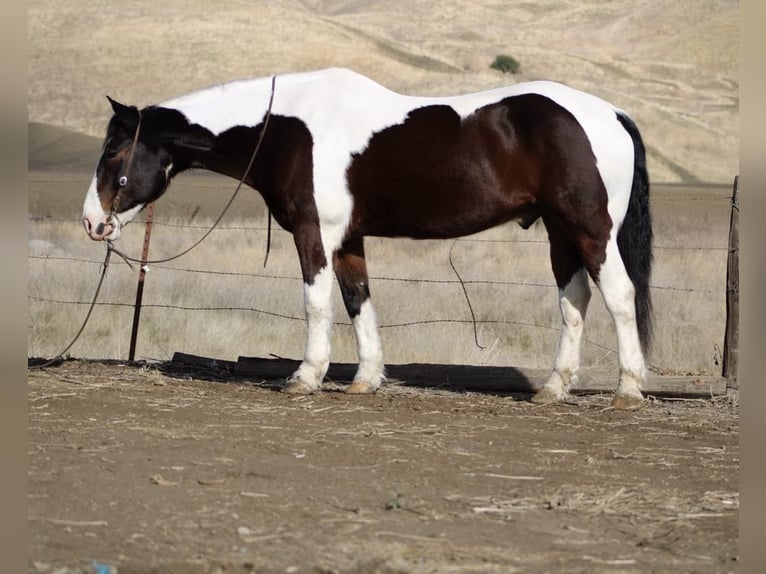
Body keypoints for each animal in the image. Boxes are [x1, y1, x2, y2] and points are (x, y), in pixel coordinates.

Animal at [82, 67, 652, 410]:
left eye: (113, 151)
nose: (92, 222)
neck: (284, 128)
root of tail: (611, 114)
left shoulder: (314, 233)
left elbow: (317, 303)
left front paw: (306, 376)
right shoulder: (349, 239)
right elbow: (359, 300)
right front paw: (365, 378)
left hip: (591, 229)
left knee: (619, 296)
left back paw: (628, 388)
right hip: (561, 232)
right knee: (574, 299)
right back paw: (554, 388)